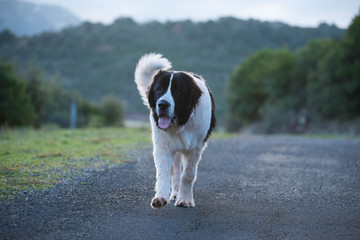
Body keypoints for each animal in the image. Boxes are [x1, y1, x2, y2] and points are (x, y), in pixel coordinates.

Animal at [134, 53, 214, 207]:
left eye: (177, 91)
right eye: (159, 89)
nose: (162, 104)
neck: (182, 122)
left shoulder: (195, 148)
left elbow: (188, 174)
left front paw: (185, 200)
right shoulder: (163, 146)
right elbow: (163, 172)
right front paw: (160, 197)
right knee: (175, 172)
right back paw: (175, 192)